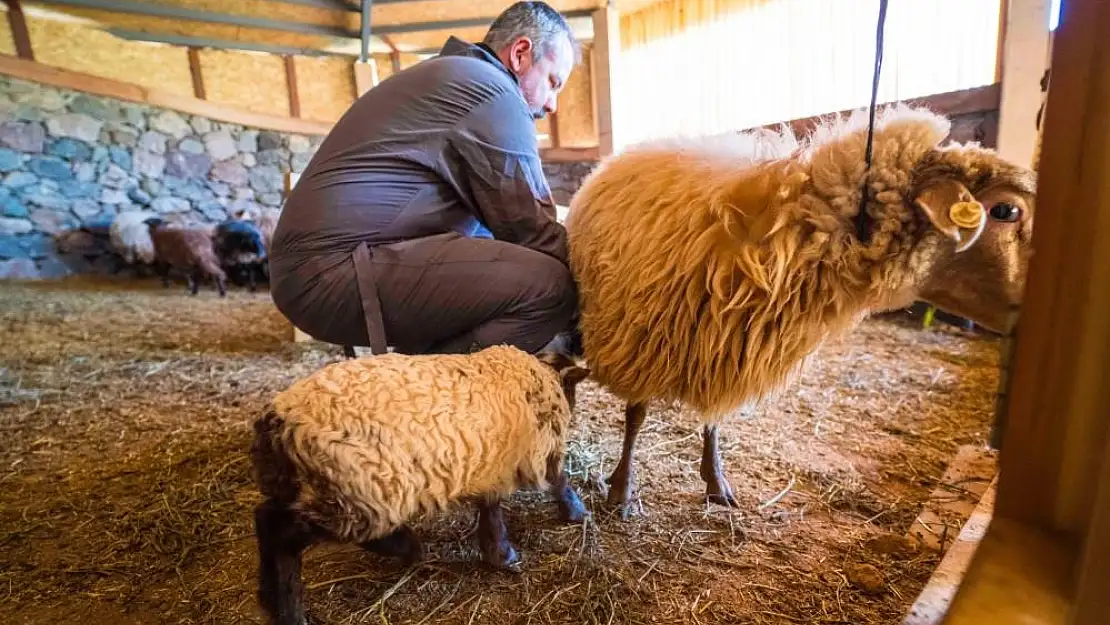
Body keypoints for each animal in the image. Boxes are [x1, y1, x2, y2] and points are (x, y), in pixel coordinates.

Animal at [251, 346, 594, 625]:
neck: (540, 374)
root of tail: (277, 422)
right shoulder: (537, 454)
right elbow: (558, 481)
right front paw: (574, 514)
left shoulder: (490, 462)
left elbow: (490, 507)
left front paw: (497, 552)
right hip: (355, 495)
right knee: (286, 537)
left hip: (305, 488)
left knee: (265, 519)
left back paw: (269, 598)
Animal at [563, 104, 1038, 519]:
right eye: (1006, 210)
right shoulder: (639, 337)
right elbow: (636, 416)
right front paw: (622, 490)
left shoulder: (723, 342)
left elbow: (714, 419)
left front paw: (716, 482)